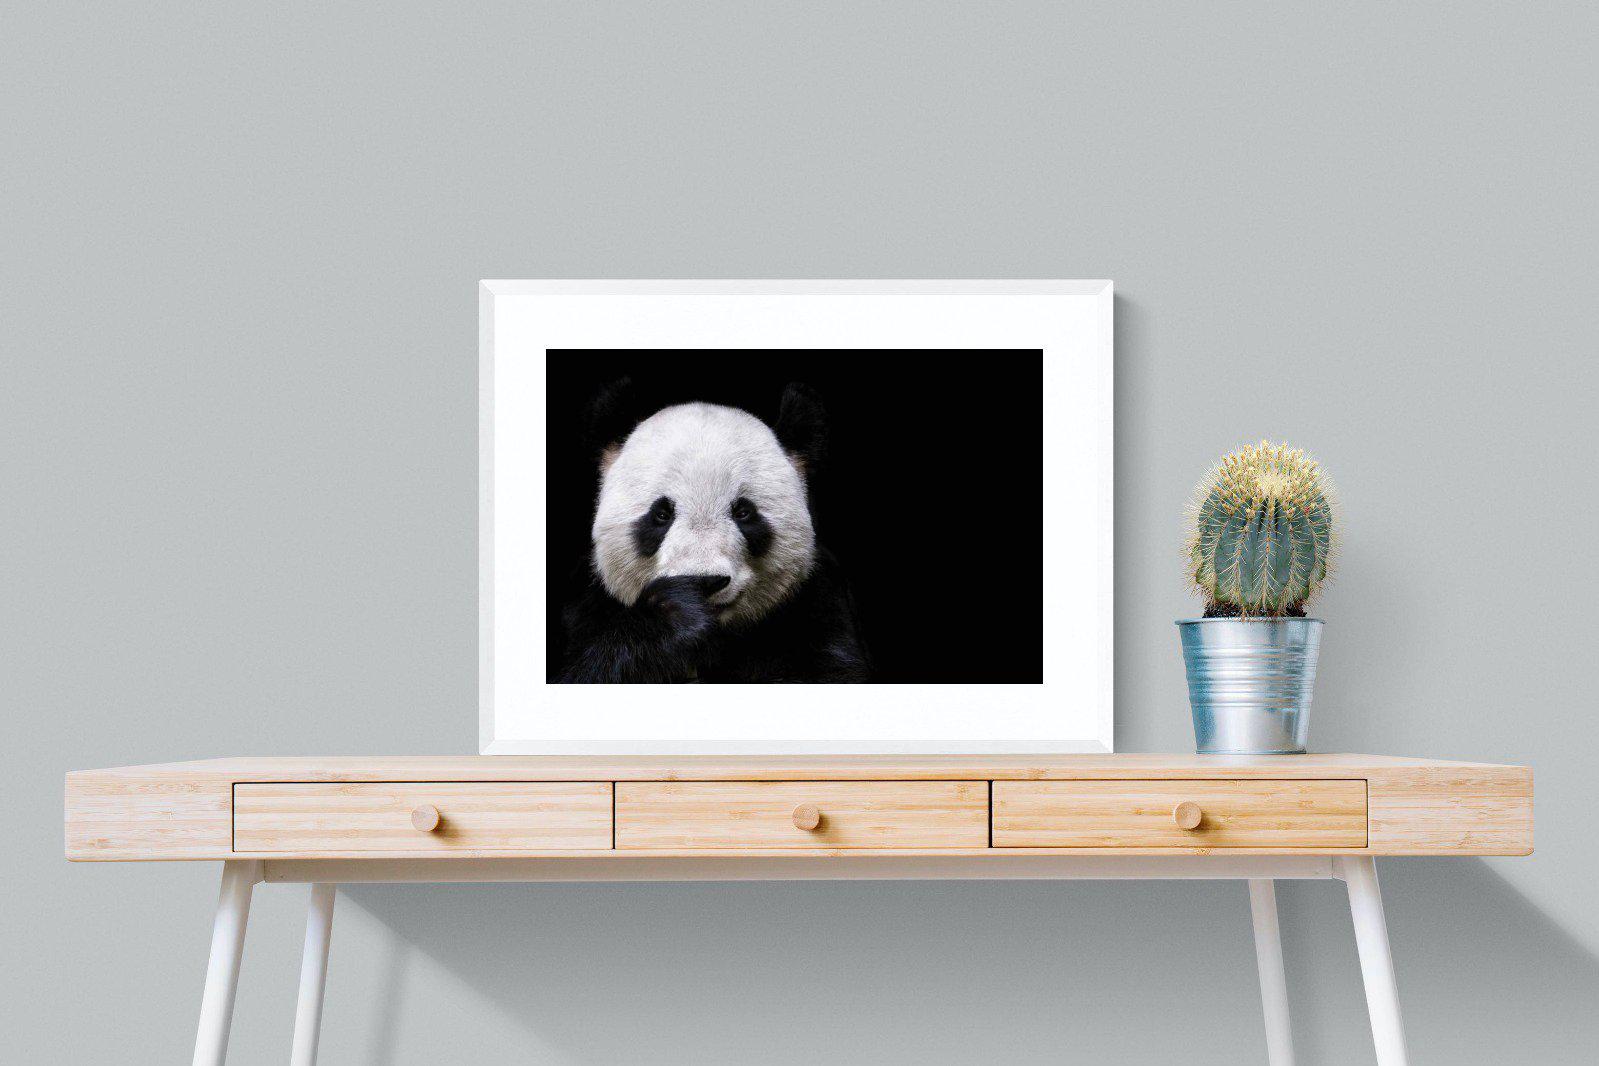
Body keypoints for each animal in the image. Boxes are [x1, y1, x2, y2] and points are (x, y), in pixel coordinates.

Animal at [557, 381, 870, 683]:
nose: (705, 580)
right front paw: (676, 613)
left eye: (743, 512)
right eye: (661, 514)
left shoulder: (817, 605)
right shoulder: (586, 607)